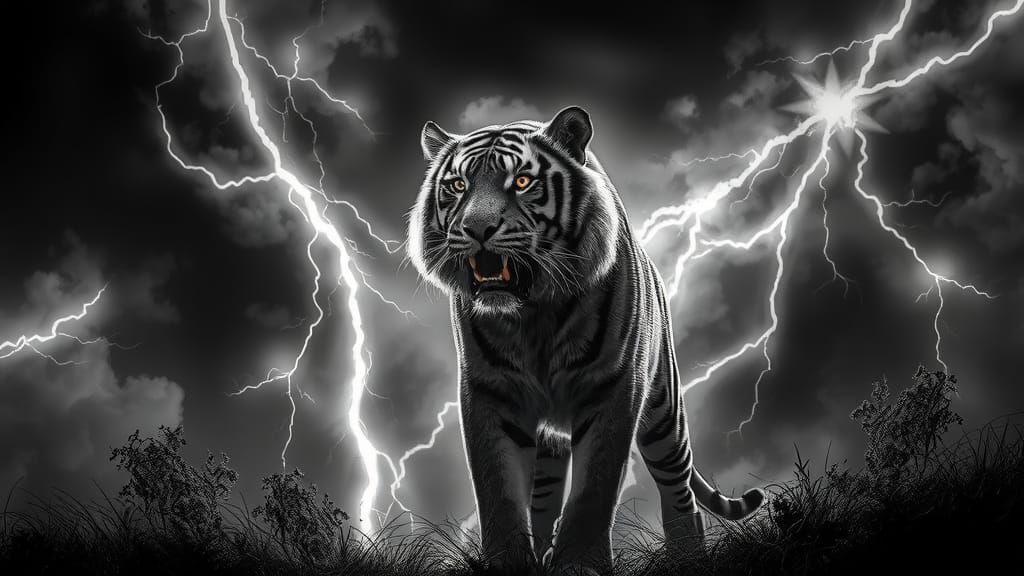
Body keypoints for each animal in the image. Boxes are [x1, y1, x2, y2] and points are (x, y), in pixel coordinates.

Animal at [407, 106, 764, 574]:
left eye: (522, 181)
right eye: (458, 186)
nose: (476, 228)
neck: (532, 314)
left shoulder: (613, 386)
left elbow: (594, 488)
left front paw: (581, 563)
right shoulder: (490, 391)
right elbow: (498, 490)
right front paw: (510, 563)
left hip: (664, 412)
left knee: (679, 489)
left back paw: (689, 557)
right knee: (543, 500)